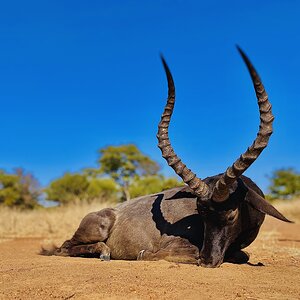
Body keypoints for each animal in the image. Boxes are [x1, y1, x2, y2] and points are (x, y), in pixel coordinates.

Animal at [42, 46, 290, 268]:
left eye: (231, 216)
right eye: (201, 214)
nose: (207, 261)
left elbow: (242, 255)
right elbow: (154, 254)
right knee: (64, 248)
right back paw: (103, 252)